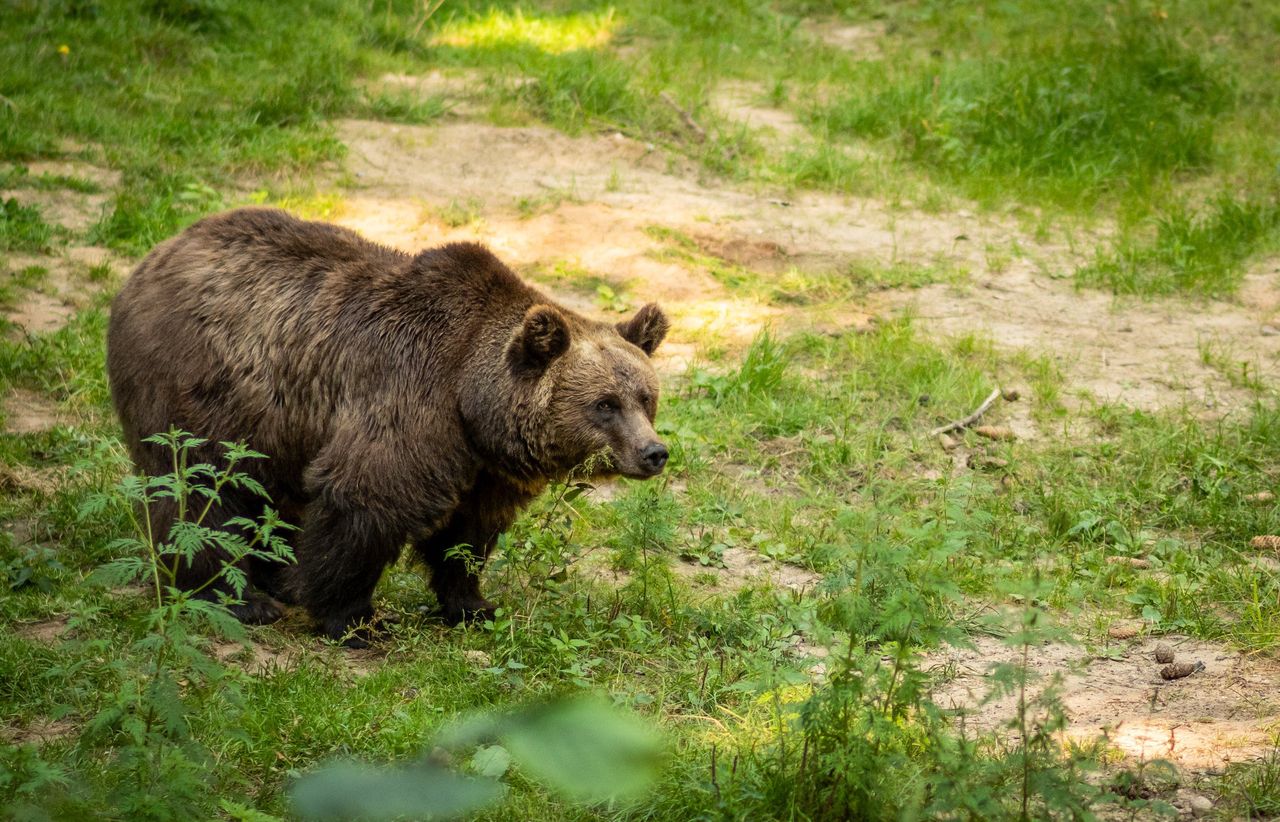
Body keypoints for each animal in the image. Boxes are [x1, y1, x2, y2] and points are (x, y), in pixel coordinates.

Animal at [107, 204, 670, 640]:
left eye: (646, 398)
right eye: (605, 404)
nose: (654, 452)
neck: (470, 400)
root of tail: (159, 252)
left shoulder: (484, 467)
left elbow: (467, 536)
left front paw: (474, 605)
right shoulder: (408, 399)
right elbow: (366, 498)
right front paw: (355, 618)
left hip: (275, 421)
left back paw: (279, 578)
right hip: (199, 387)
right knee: (200, 491)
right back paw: (240, 599)